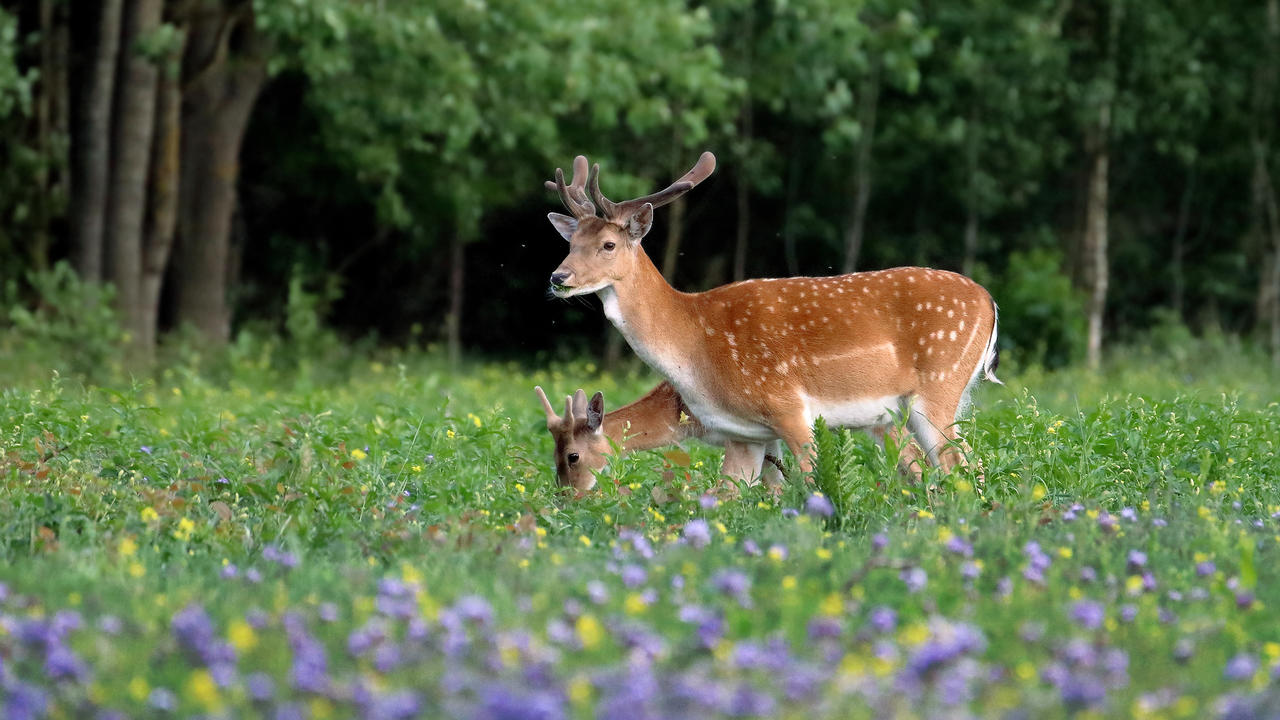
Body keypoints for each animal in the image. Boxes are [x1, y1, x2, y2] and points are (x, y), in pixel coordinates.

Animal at [542, 152, 998, 476]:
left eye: (608, 245)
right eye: (571, 242)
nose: (558, 276)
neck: (694, 343)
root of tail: (989, 302)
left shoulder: (789, 408)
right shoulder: (745, 432)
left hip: (937, 385)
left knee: (960, 464)